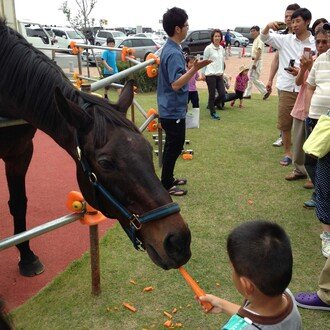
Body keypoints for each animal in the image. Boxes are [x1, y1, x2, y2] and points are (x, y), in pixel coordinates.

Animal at [0, 18, 191, 276]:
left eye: (146, 149)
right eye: (105, 163)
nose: (178, 242)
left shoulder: (20, 152)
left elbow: (19, 203)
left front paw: (27, 257)